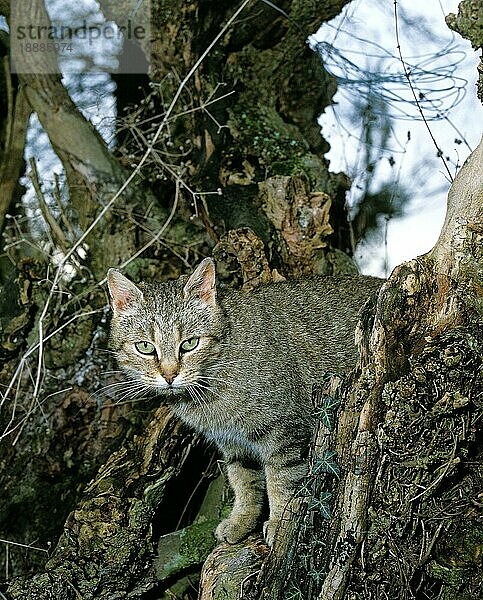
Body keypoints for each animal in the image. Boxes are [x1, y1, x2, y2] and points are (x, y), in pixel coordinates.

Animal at [108, 258, 384, 544]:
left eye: (190, 343)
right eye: (145, 347)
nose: (169, 375)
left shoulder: (285, 432)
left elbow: (282, 481)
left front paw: (279, 523)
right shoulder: (233, 443)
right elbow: (243, 481)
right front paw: (242, 519)